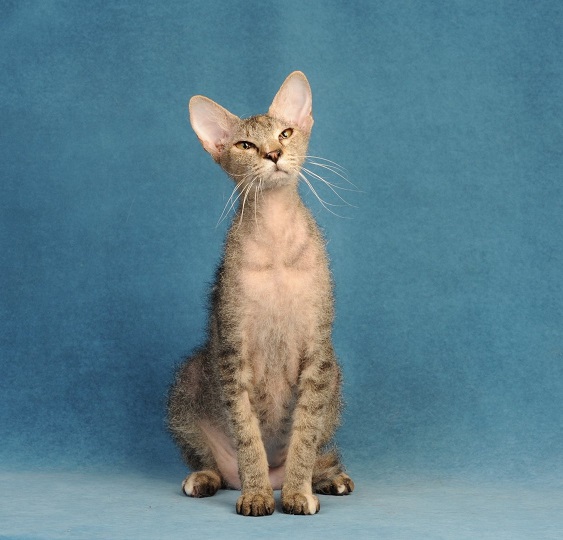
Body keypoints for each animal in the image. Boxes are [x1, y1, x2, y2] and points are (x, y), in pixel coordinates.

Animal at [168, 71, 354, 516]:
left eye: (285, 133)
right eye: (245, 145)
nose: (273, 154)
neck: (275, 238)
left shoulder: (318, 349)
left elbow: (305, 433)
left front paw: (298, 494)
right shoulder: (232, 352)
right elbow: (247, 433)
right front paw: (255, 495)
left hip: (335, 374)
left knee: (319, 446)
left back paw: (326, 478)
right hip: (189, 377)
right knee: (212, 462)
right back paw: (210, 478)